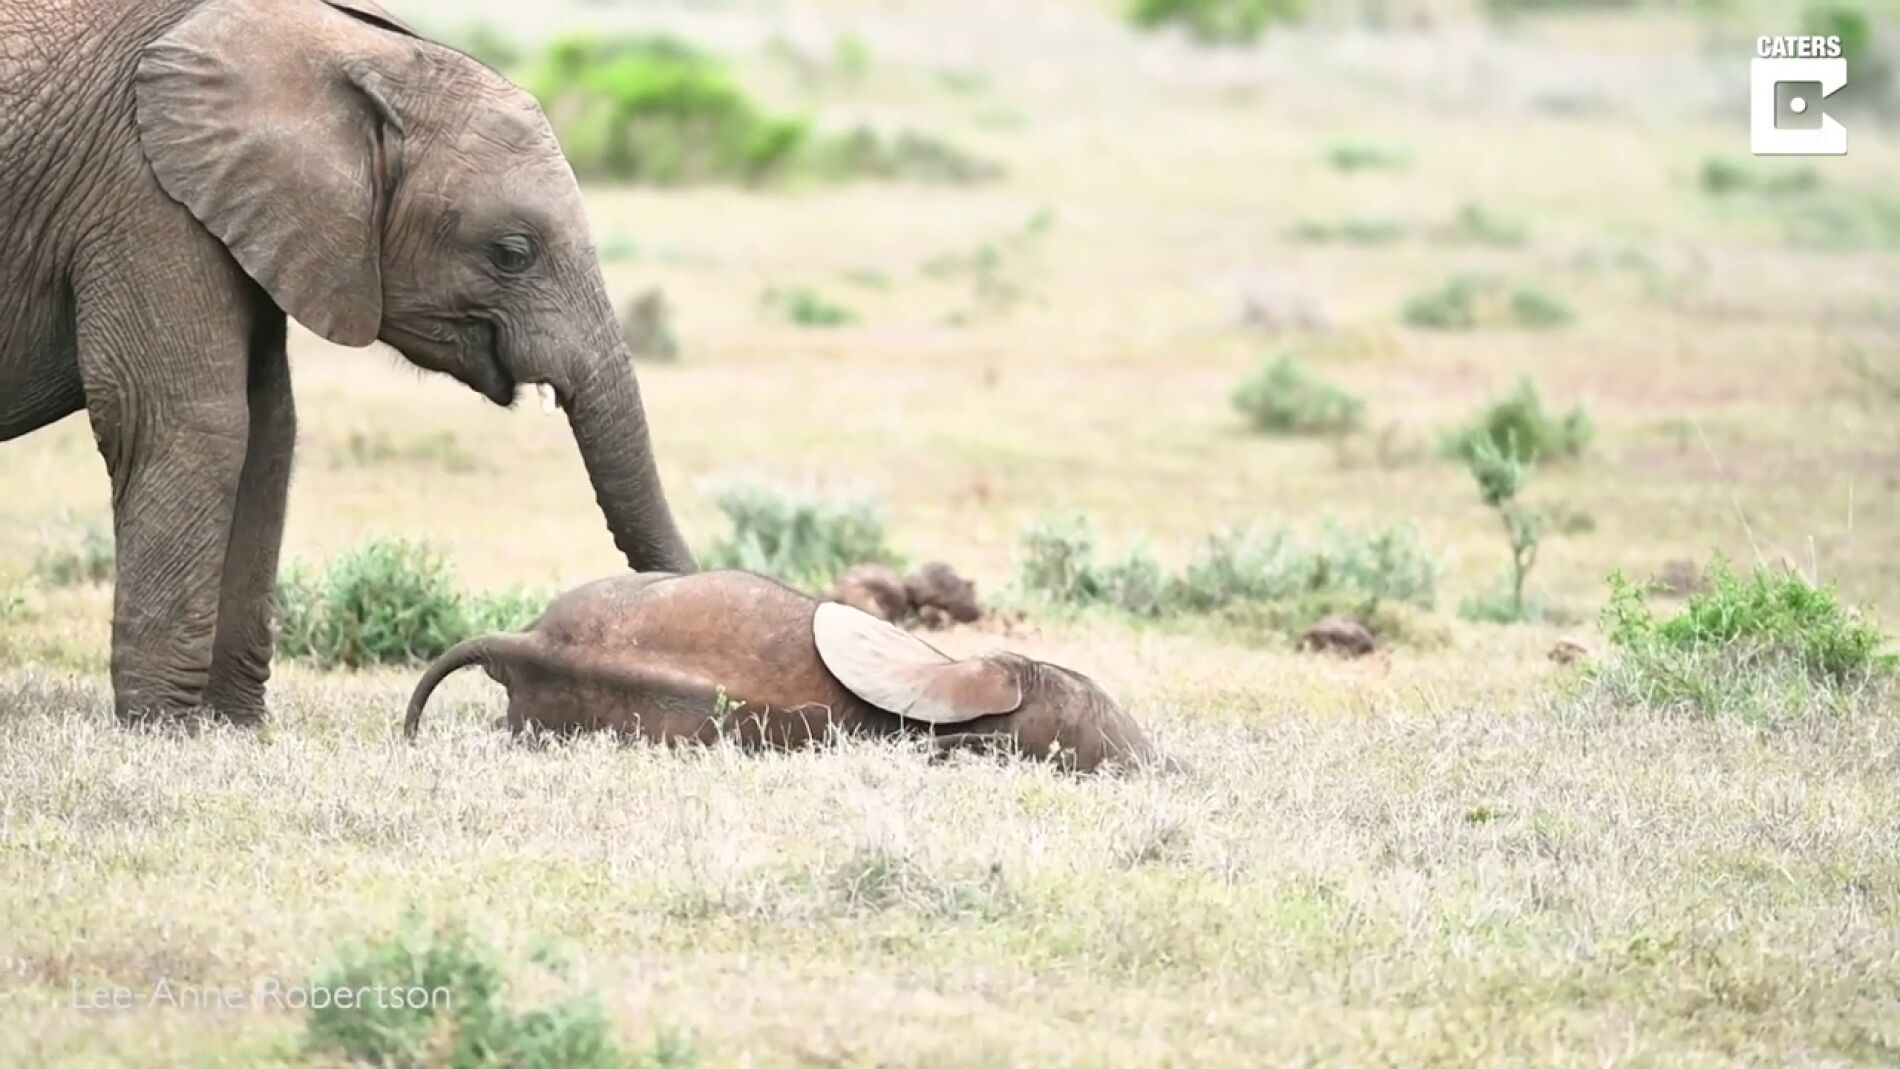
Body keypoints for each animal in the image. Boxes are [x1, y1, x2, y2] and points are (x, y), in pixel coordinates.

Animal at [0, 0, 696, 725]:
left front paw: (233, 726)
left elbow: (269, 435)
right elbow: (187, 423)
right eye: (512, 253)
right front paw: (163, 726)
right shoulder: (142, 197)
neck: (347, 53)